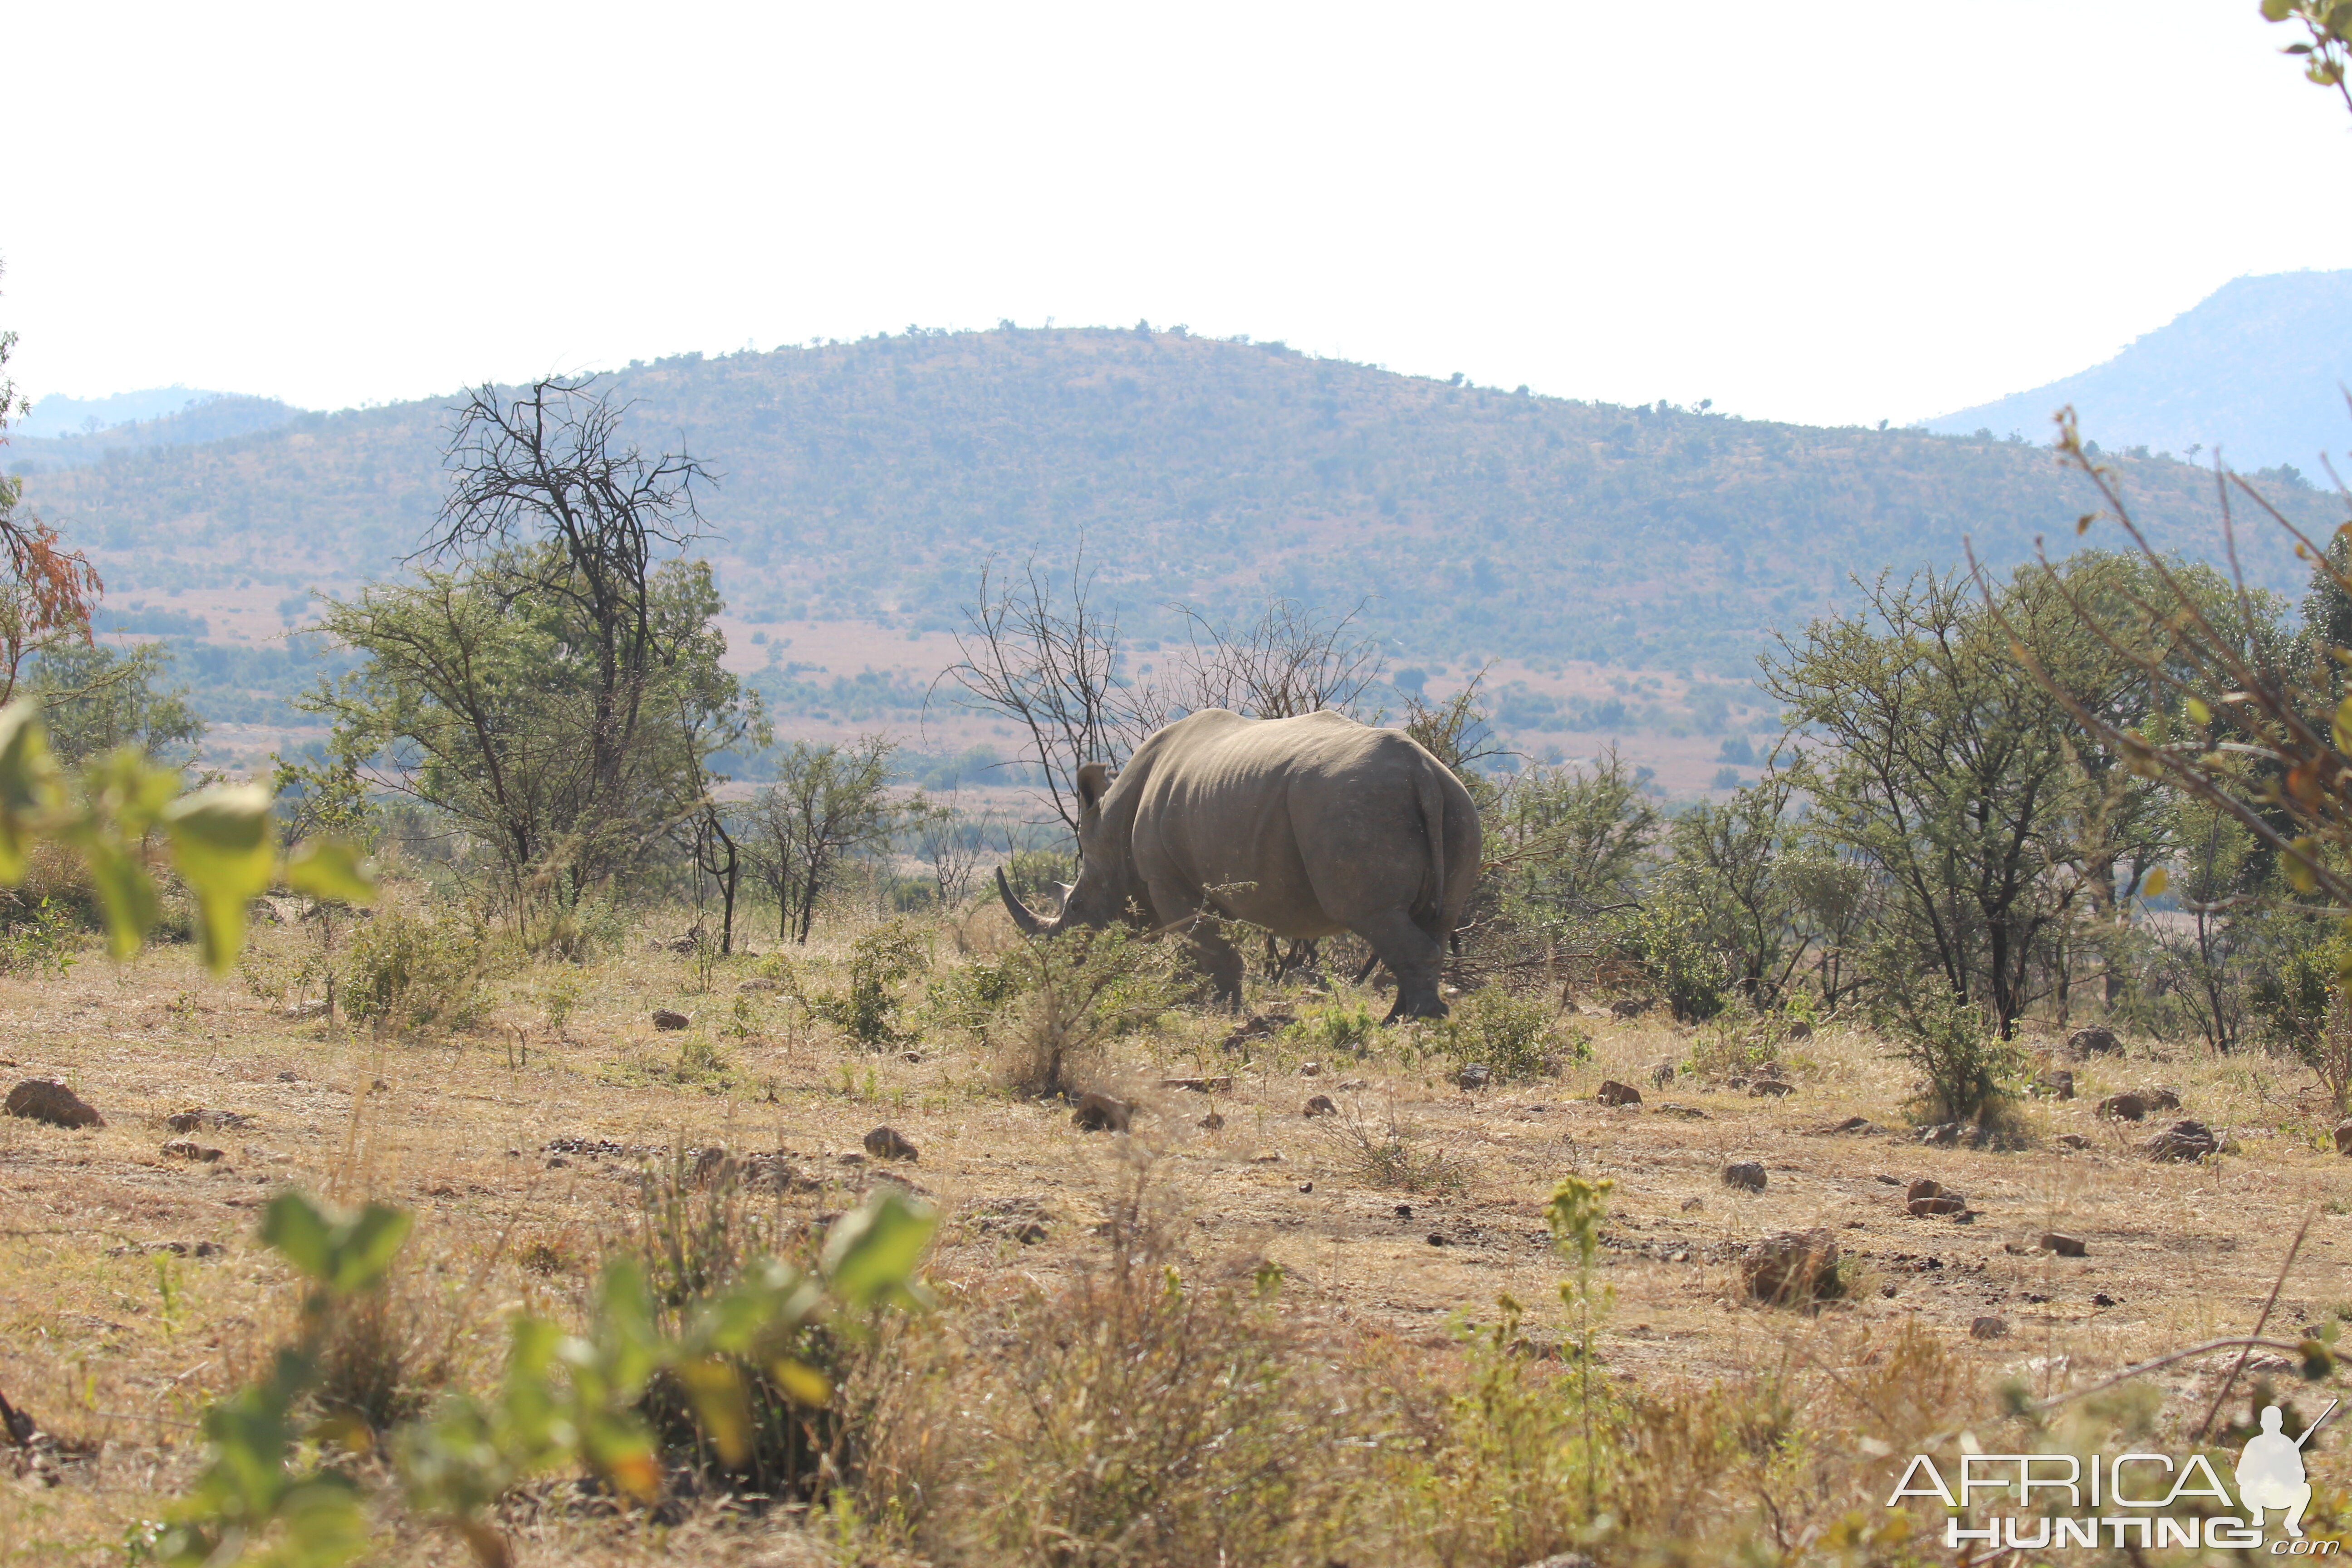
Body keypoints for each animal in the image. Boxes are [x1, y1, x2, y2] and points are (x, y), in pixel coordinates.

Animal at [997, 710, 1477, 1025]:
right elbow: (1209, 946)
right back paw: (1407, 1016)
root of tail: (1422, 770)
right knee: (1435, 919)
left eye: (1076, 907)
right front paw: (1192, 1001)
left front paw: (1218, 1010)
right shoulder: (1209, 878)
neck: (1114, 834)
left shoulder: (1167, 880)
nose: (1067, 964)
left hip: (1351, 805)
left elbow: (1206, 946)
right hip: (1455, 803)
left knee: (1372, 914)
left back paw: (1414, 1022)